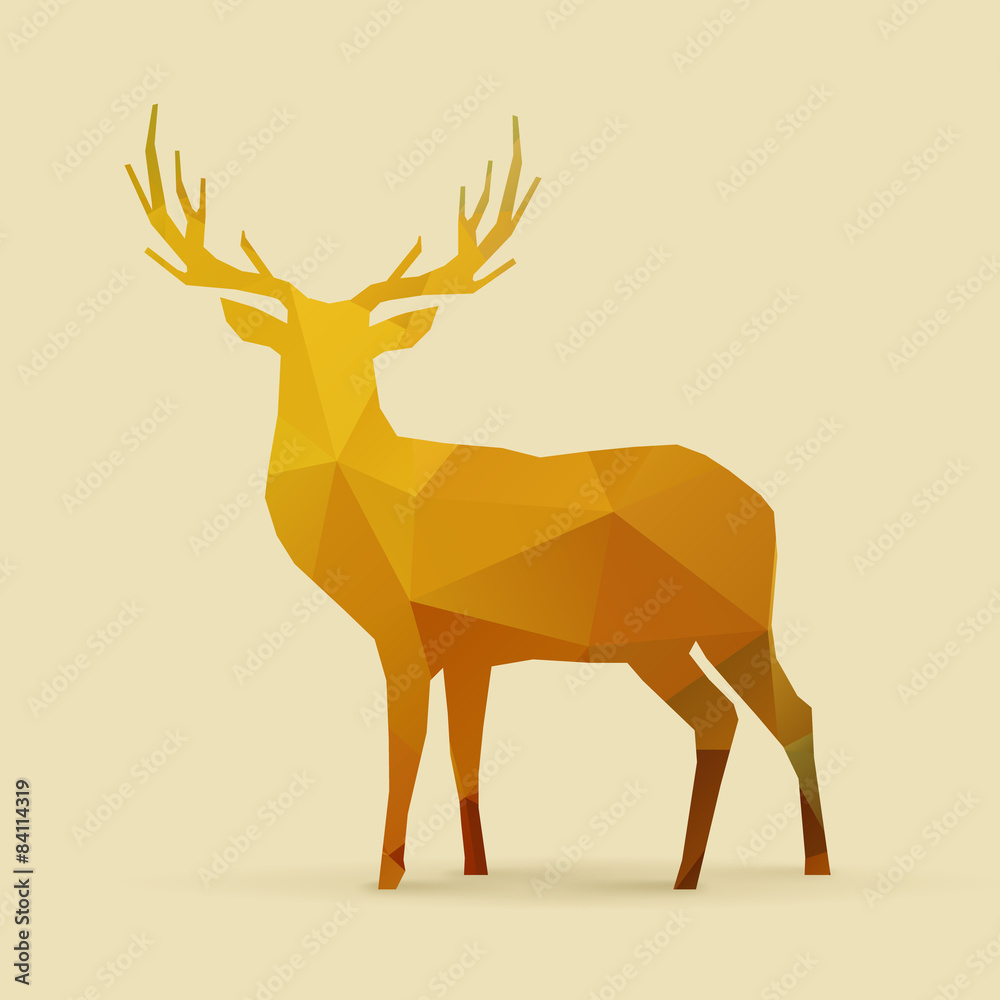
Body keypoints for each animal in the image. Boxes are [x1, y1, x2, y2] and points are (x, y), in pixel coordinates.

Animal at [126, 105, 829, 890]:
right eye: (293, 345)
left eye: (365, 350)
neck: (372, 505)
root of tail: (766, 510)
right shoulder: (474, 652)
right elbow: (466, 757)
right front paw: (475, 868)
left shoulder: (403, 631)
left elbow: (406, 754)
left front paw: (389, 875)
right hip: (717, 631)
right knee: (774, 712)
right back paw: (785, 866)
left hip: (683, 631)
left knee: (740, 717)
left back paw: (710, 874)